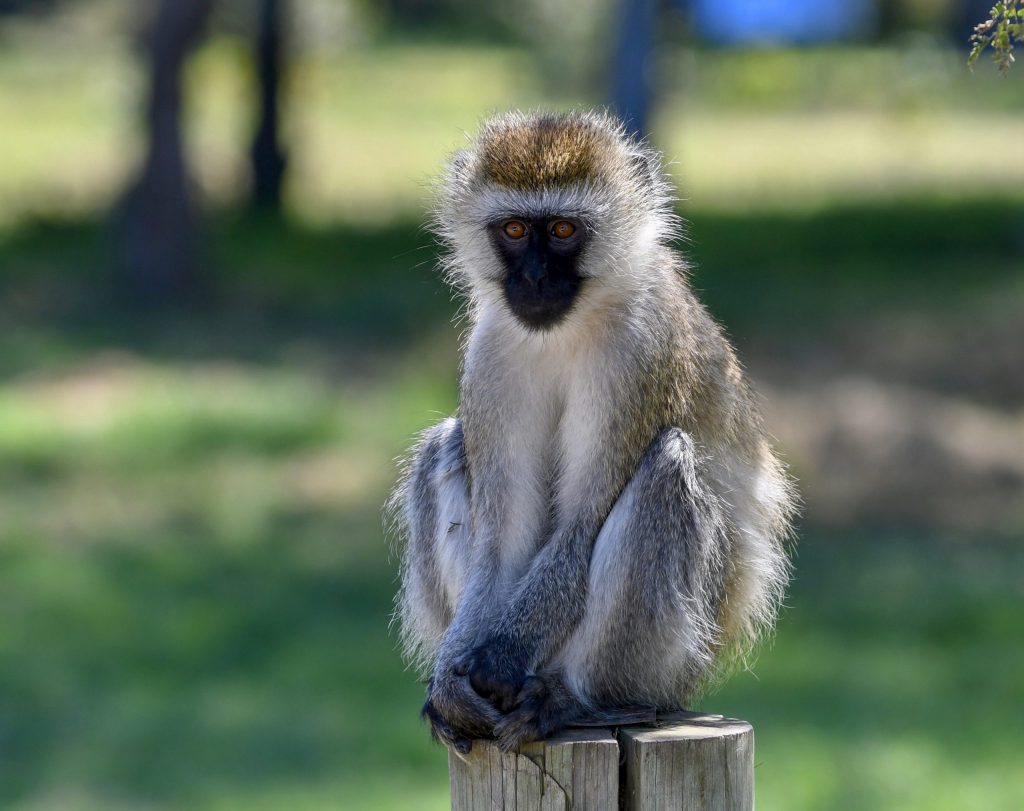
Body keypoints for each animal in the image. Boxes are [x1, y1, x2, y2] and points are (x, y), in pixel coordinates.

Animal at [391, 109, 798, 753]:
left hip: (677, 660)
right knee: (442, 447)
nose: (533, 279)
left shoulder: (641, 351)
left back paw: (578, 700)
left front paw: (496, 660)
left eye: (562, 230)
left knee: (665, 467)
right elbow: (502, 541)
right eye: (513, 230)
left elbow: (582, 524)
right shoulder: (492, 352)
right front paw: (453, 678)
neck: (572, 325)